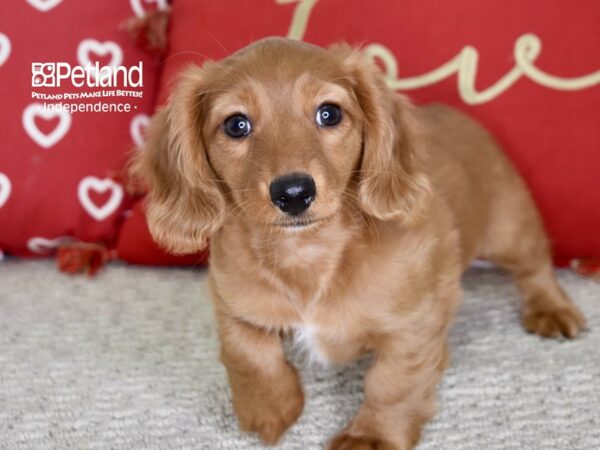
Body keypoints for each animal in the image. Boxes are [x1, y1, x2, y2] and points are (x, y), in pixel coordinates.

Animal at [132, 39, 584, 450]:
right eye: (236, 124)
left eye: (329, 113)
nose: (293, 193)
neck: (309, 255)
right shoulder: (231, 300)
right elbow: (248, 353)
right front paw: (270, 408)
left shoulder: (415, 325)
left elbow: (392, 384)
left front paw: (371, 436)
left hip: (511, 229)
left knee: (536, 268)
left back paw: (552, 310)